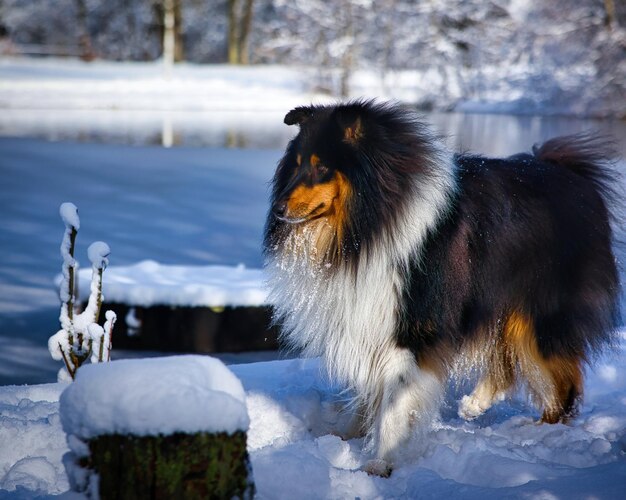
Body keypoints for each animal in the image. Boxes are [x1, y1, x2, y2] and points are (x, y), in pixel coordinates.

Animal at [260, 98, 616, 476]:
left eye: (322, 167)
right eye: (297, 164)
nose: (278, 209)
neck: (368, 222)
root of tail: (574, 176)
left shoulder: (411, 327)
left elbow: (395, 403)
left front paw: (381, 462)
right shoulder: (369, 318)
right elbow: (368, 392)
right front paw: (346, 435)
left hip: (542, 316)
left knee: (564, 385)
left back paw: (537, 433)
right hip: (502, 305)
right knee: (508, 364)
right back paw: (474, 405)